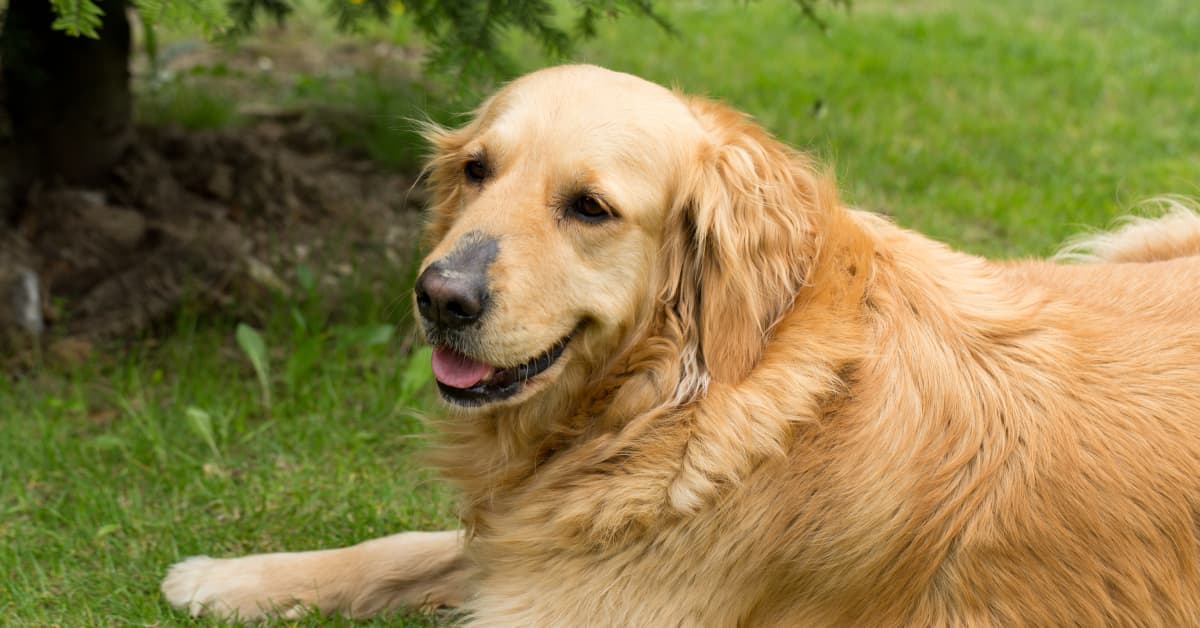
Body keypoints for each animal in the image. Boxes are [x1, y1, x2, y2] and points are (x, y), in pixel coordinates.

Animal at [164, 66, 1200, 624]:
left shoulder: (565, 603)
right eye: (477, 169)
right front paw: (230, 577)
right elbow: (397, 548)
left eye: (589, 207)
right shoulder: (536, 547)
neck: (678, 398)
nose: (438, 297)